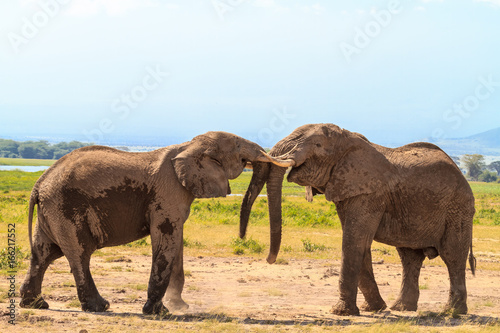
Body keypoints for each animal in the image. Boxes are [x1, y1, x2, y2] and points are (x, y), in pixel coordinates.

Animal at [19, 130, 288, 314]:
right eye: (238, 146)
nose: (242, 236)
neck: (189, 146)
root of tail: (38, 184)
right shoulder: (167, 192)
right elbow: (166, 238)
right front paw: (160, 312)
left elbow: (176, 242)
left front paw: (178, 306)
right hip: (65, 207)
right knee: (79, 253)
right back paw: (100, 307)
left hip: (52, 210)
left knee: (43, 253)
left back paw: (36, 304)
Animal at [240, 123, 474, 316]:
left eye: (317, 145)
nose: (269, 259)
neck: (348, 139)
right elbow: (360, 242)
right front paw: (374, 309)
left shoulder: (370, 192)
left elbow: (354, 240)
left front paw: (341, 312)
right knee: (409, 257)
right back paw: (401, 308)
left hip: (458, 209)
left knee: (452, 255)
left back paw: (452, 312)